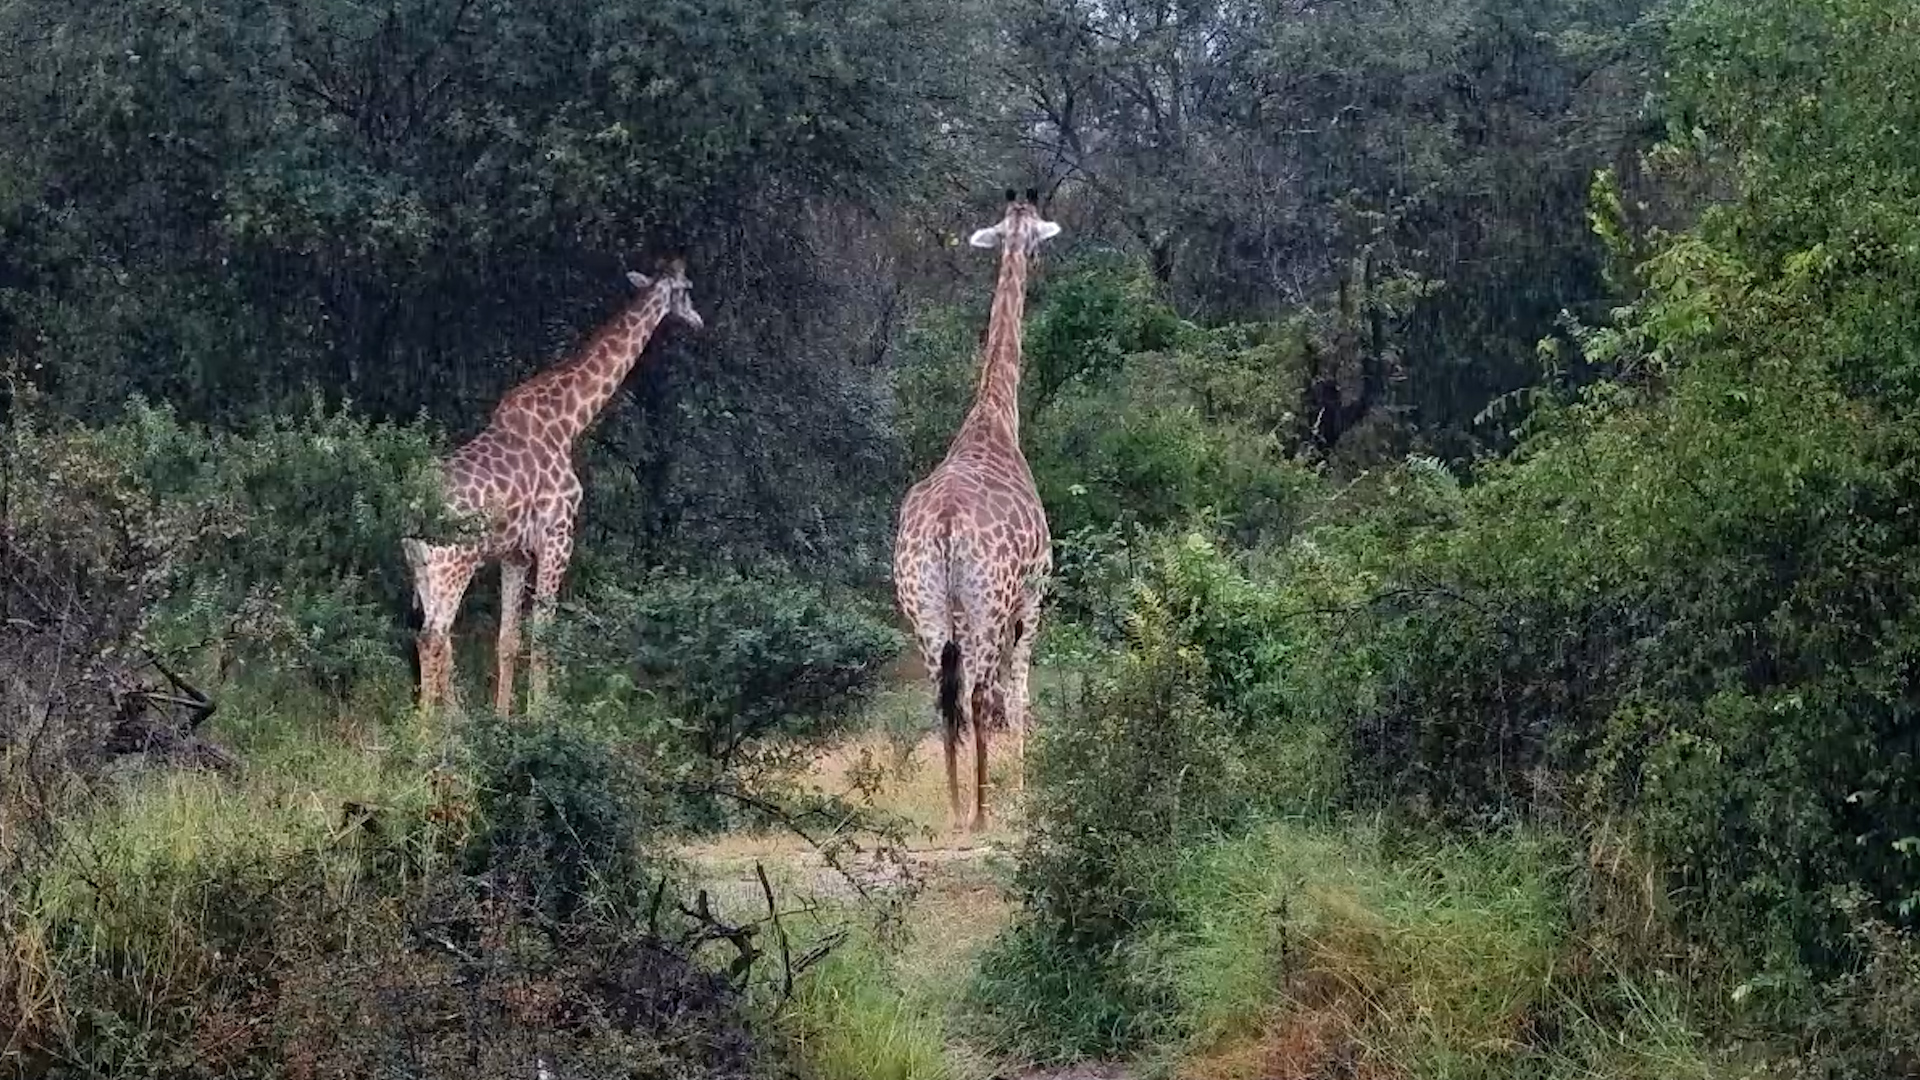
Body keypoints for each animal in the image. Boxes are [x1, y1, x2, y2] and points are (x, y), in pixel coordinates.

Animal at [404, 258, 704, 716]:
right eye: (686, 290)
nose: (699, 321)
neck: (568, 421)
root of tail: (417, 507)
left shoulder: (514, 554)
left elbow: (507, 639)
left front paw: (502, 718)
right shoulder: (558, 537)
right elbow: (543, 635)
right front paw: (539, 718)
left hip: (421, 567)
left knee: (435, 637)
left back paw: (447, 722)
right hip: (454, 565)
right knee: (433, 636)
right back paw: (427, 730)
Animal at [894, 188, 1061, 832]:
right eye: (1036, 238)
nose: (1038, 260)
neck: (994, 417)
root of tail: (943, 527)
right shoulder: (1034, 592)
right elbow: (1020, 693)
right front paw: (1025, 787)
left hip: (924, 607)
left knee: (945, 699)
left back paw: (955, 809)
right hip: (986, 605)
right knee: (979, 694)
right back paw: (983, 812)